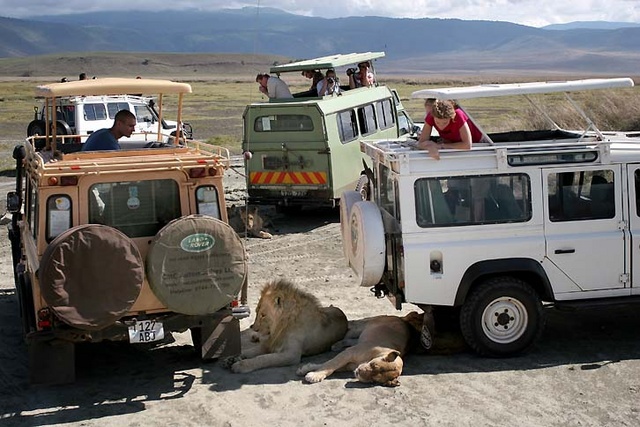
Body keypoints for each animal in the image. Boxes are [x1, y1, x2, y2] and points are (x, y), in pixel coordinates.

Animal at [296, 311, 425, 387]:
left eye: (374, 380)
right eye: (373, 365)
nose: (358, 372)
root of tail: (403, 319)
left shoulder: (348, 364)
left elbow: (329, 365)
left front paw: (307, 370)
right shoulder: (348, 353)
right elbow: (329, 365)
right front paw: (313, 375)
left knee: (351, 340)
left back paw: (336, 345)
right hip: (361, 327)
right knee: (347, 331)